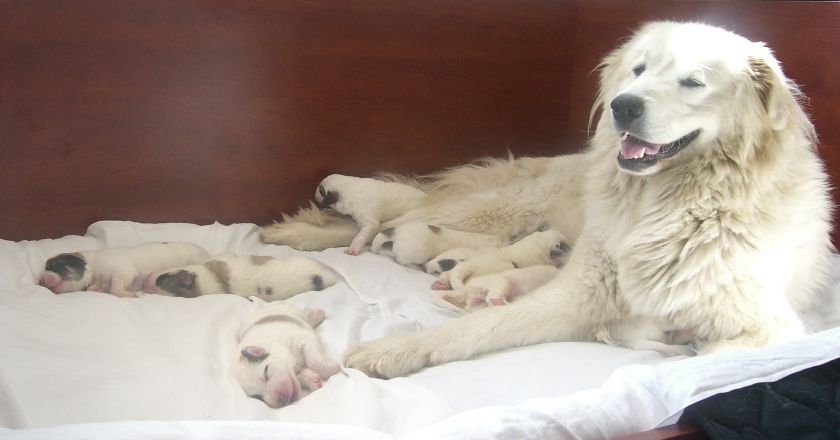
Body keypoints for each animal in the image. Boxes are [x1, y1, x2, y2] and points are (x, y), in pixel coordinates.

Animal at [264, 21, 832, 378]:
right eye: (639, 70)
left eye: (692, 81)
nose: (622, 106)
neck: (671, 203)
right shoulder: (577, 290)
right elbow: (479, 326)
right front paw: (397, 350)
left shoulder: (774, 329)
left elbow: (710, 351)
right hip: (491, 209)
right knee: (396, 216)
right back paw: (295, 232)